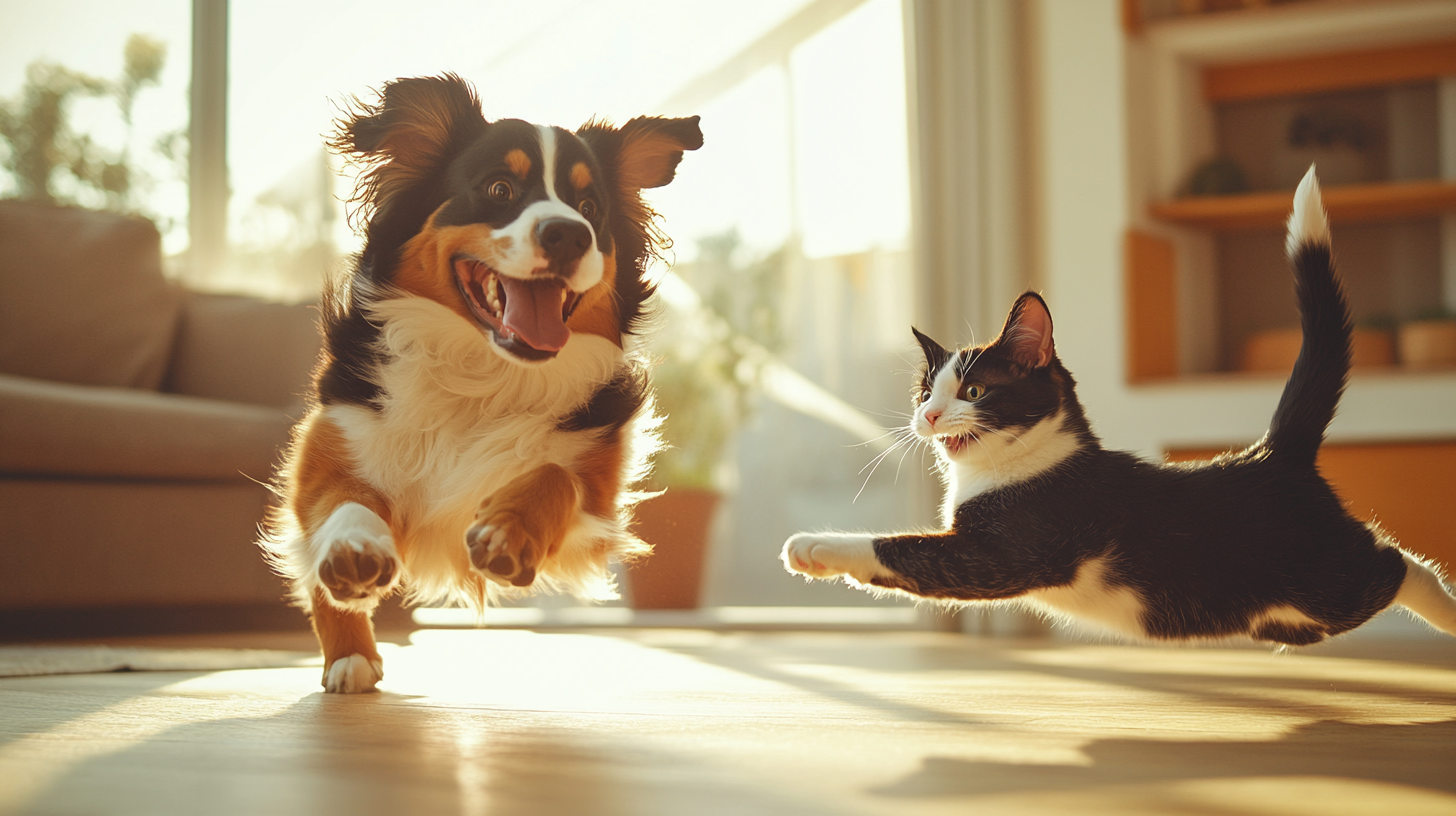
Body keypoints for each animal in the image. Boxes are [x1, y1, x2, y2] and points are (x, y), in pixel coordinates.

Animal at [263, 75, 704, 693]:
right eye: (499, 188)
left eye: (590, 208)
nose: (569, 234)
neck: (483, 371)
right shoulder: (330, 448)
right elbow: (344, 503)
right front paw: (355, 549)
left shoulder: (595, 500)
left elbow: (553, 475)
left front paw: (507, 533)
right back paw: (351, 657)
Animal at [780, 170, 1456, 644]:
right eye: (925, 393)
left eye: (973, 392)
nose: (928, 417)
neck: (1014, 468)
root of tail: (1270, 453)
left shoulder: (1011, 549)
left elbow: (905, 548)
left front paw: (814, 547)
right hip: (1286, 614)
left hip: (1326, 584)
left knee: (1394, 563)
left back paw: (1447, 612)